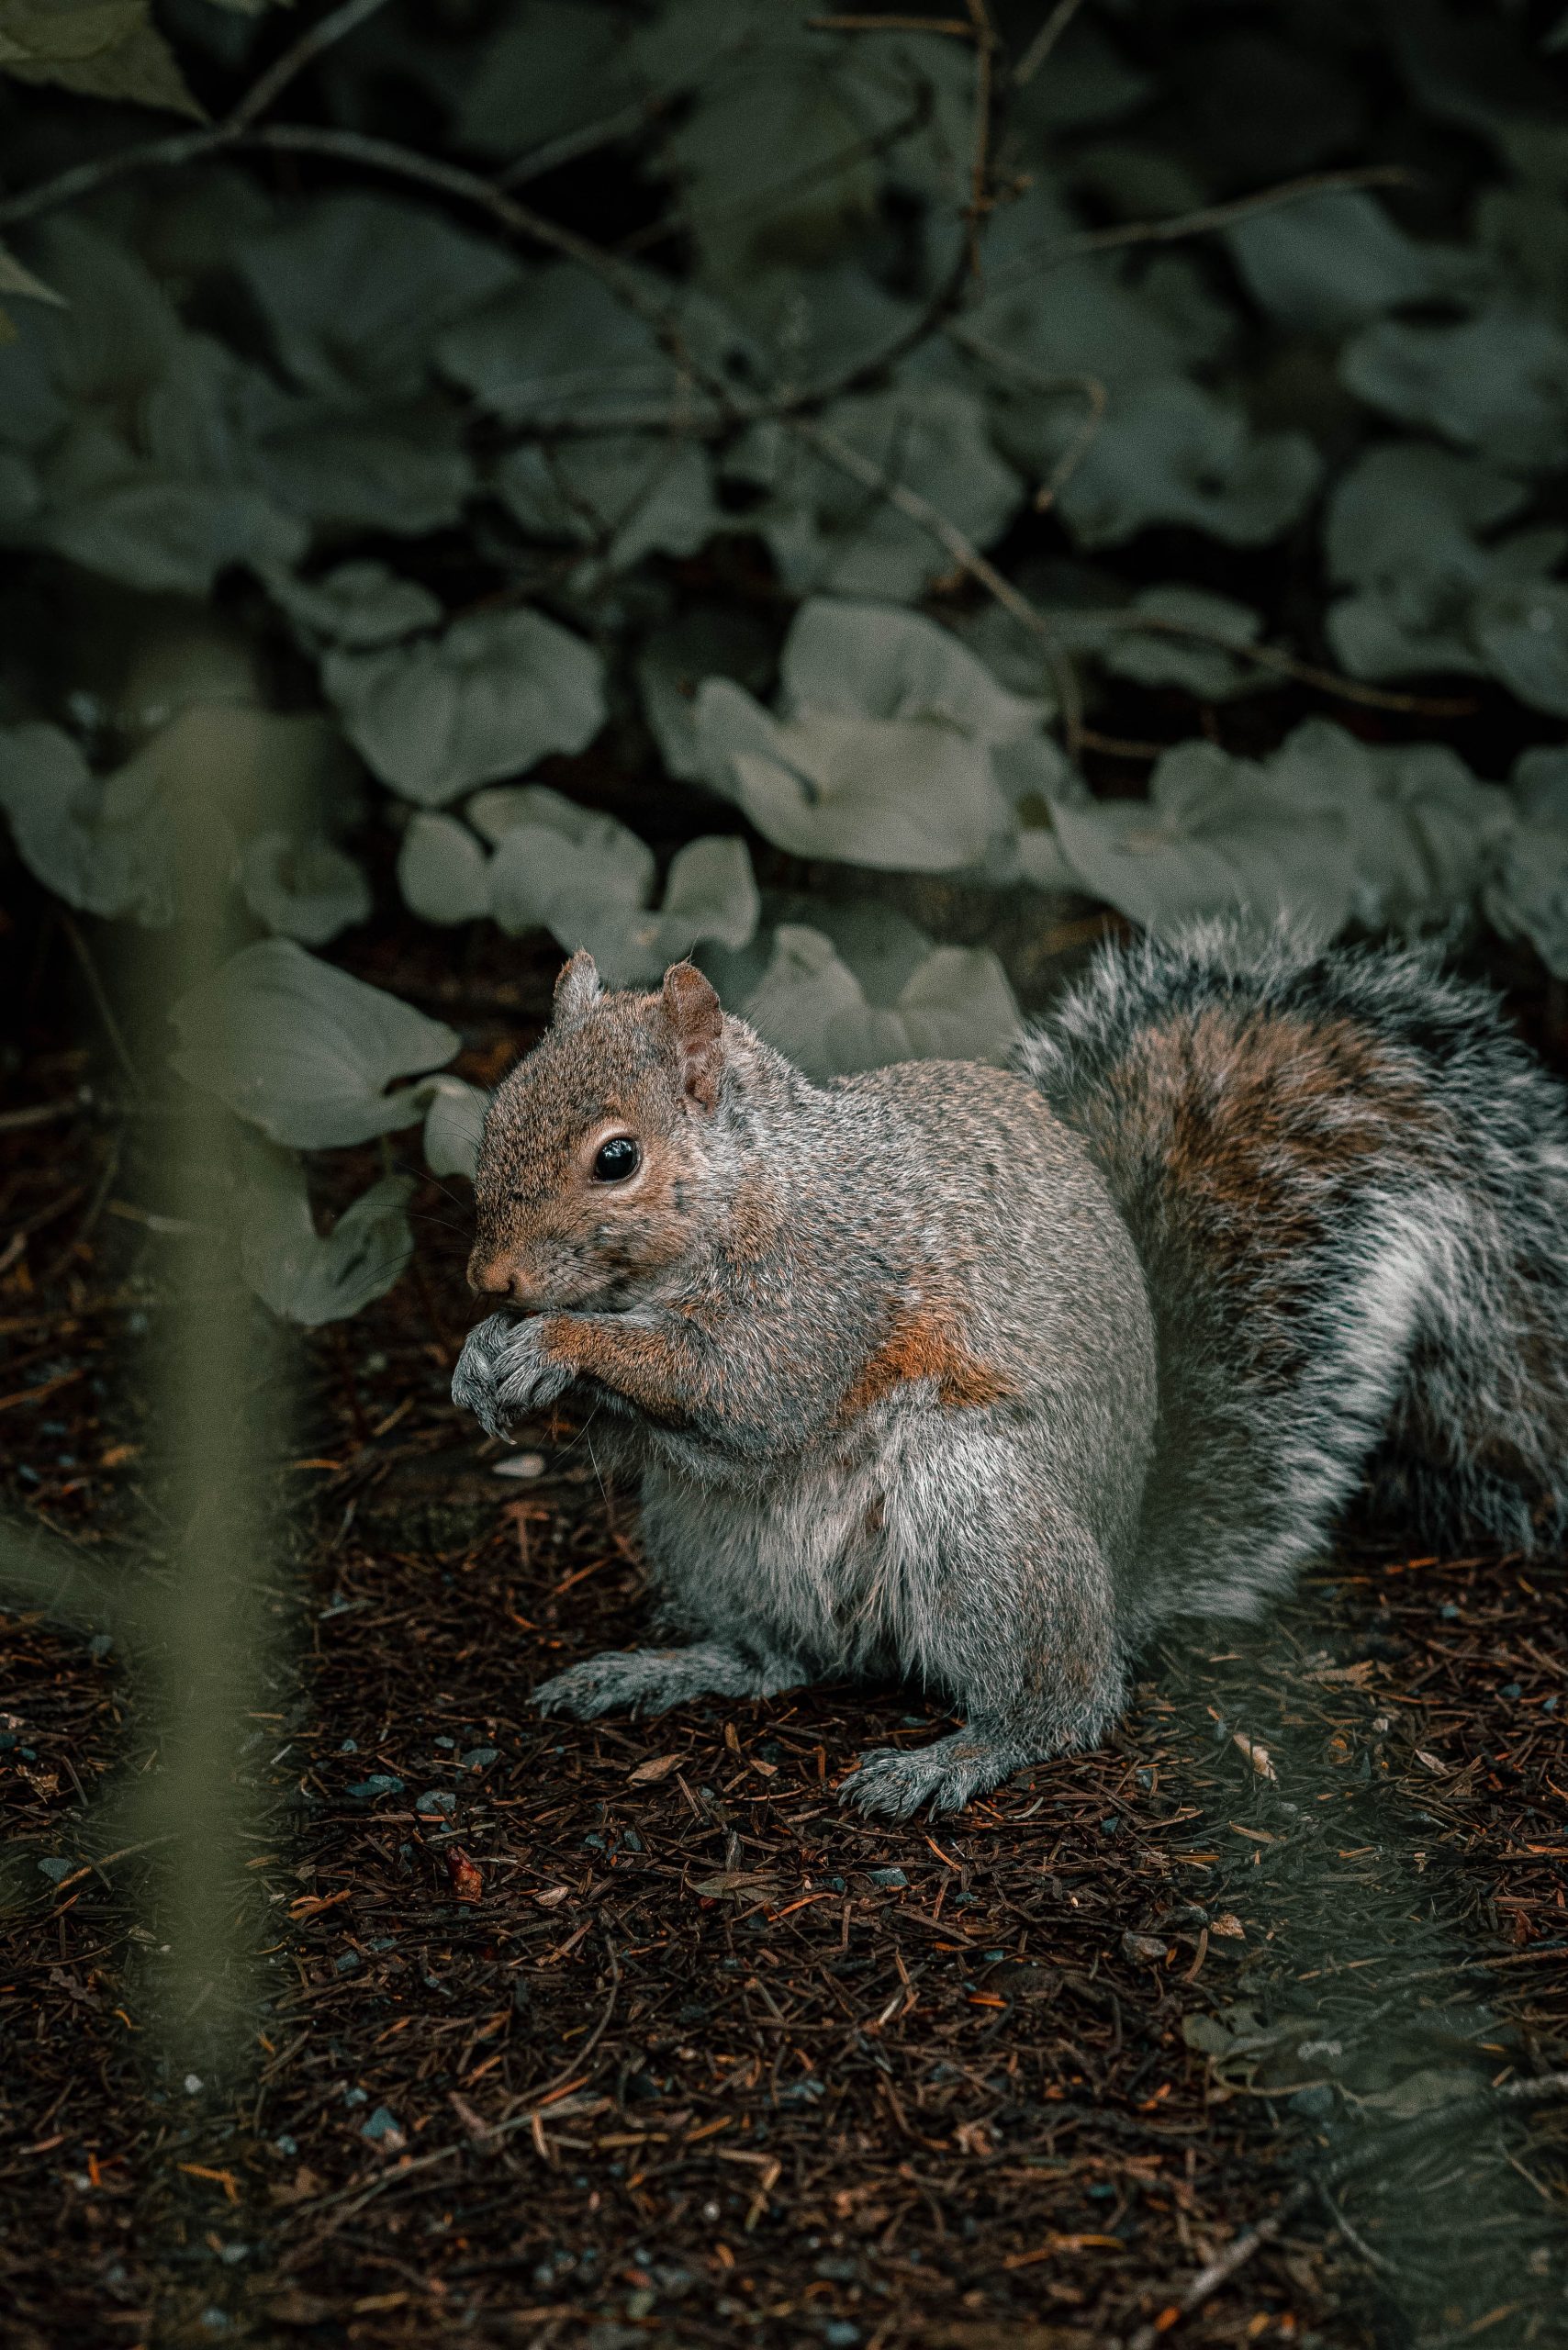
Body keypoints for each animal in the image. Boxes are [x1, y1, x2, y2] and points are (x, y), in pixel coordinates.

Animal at [446, 916, 1561, 1814]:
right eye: (495, 1113)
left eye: (617, 1158)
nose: (488, 1277)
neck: (755, 1183)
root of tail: (1117, 1570)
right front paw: (482, 1359)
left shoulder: (829, 1280)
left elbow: (750, 1390)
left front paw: (554, 1341)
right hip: (707, 1542)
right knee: (778, 1659)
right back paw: (661, 1670)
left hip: (978, 1507)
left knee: (1064, 1703)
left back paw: (958, 1757)